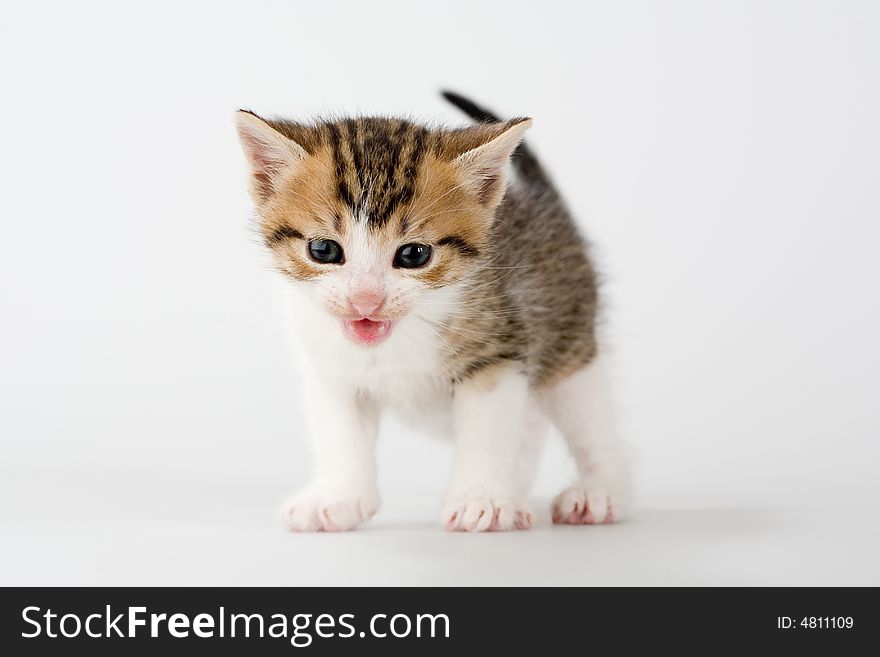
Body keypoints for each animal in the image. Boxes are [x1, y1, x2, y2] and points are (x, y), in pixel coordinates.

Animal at [235, 92, 632, 532]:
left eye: (414, 255)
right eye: (323, 250)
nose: (366, 301)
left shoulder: (497, 350)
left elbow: (488, 428)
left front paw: (482, 499)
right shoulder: (331, 366)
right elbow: (341, 431)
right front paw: (338, 496)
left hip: (570, 340)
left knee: (589, 417)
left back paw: (600, 490)